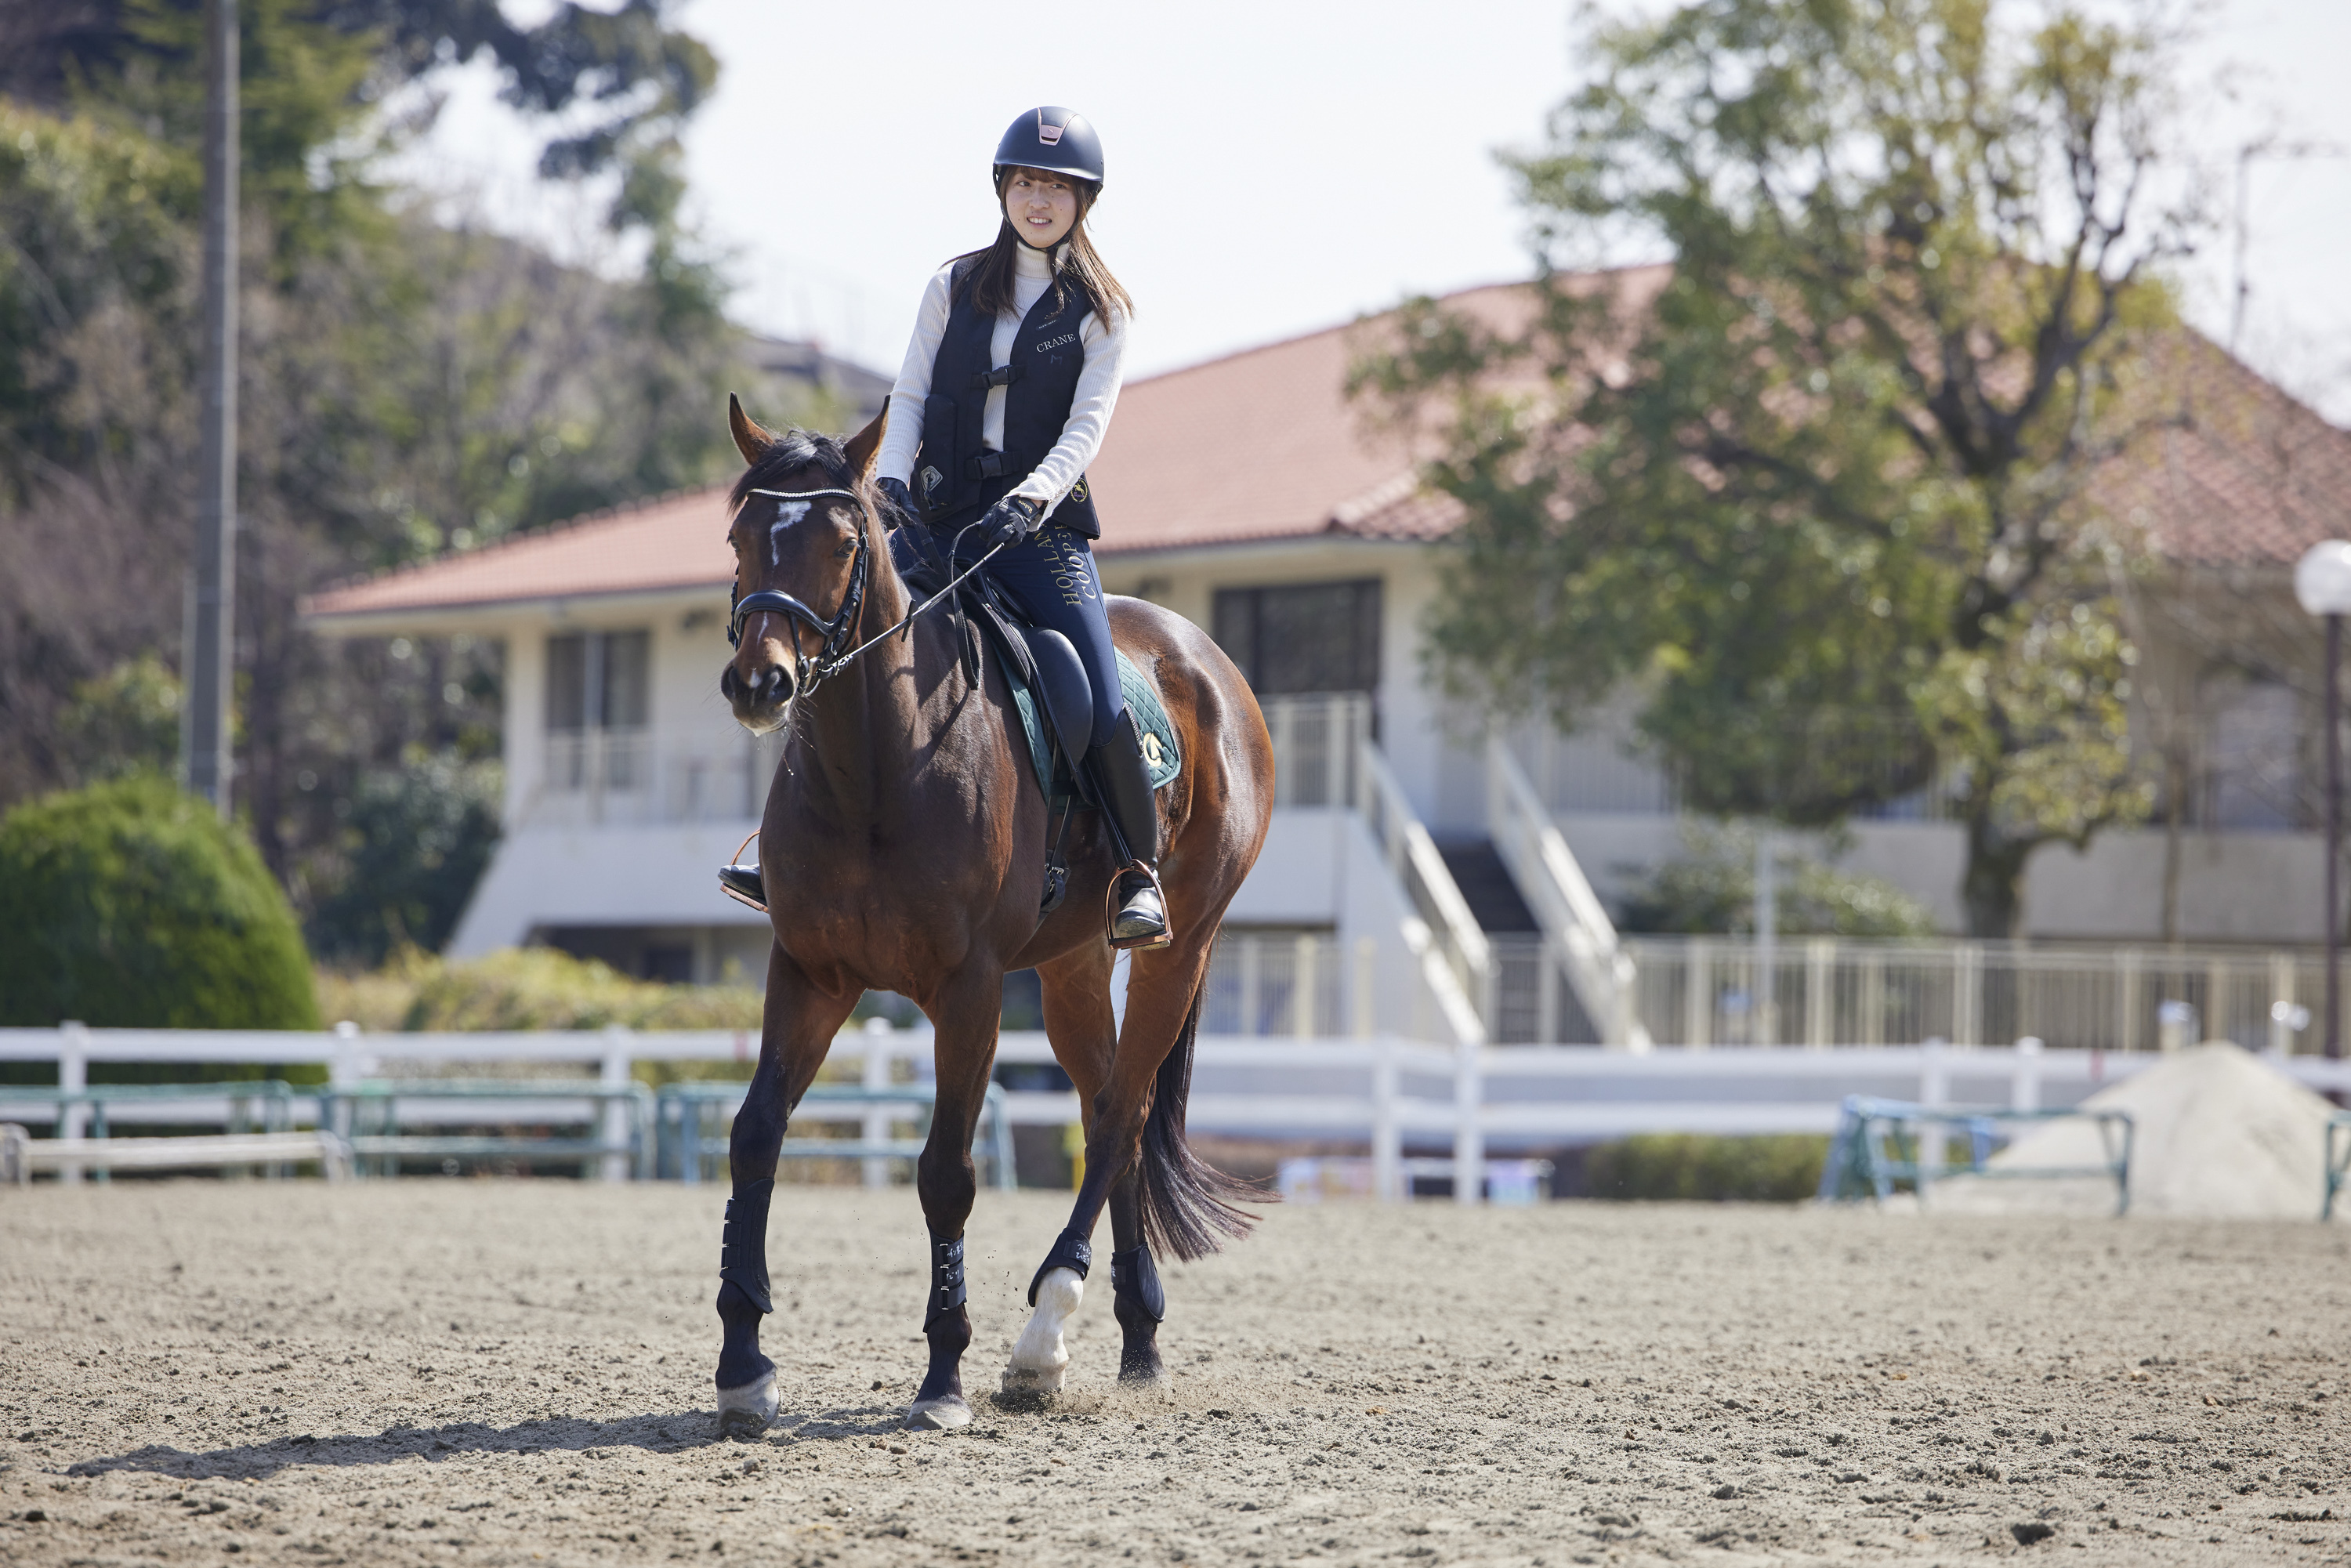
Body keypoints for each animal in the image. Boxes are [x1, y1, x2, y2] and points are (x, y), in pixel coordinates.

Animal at [711, 396, 1275, 1433]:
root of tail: (1205, 657)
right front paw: (743, 1363)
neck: (879, 767)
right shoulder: (808, 972)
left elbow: (946, 1172)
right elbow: (755, 1135)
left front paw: (943, 1376)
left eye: (843, 543)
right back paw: (1135, 1338)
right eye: (739, 538)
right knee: (1104, 1107)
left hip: (1179, 948)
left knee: (1124, 1115)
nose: (760, 683)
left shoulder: (967, 991)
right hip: (1070, 967)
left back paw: (1043, 1334)